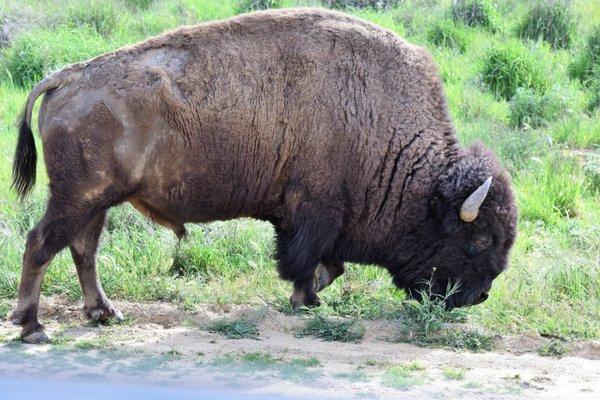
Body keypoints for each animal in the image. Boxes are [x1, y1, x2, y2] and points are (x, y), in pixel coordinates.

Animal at [9, 7, 516, 342]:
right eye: (478, 240)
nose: (479, 296)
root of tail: (66, 76)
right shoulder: (314, 211)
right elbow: (305, 260)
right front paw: (305, 300)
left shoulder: (319, 220)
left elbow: (329, 264)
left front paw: (312, 295)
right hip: (78, 196)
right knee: (42, 243)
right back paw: (33, 326)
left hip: (97, 200)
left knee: (82, 248)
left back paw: (104, 312)